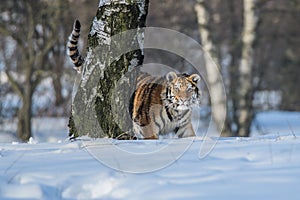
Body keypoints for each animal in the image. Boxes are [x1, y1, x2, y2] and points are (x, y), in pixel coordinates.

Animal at [67, 19, 200, 139]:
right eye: (177, 89)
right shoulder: (148, 126)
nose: (183, 100)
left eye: (189, 90)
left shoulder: (184, 127)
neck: (177, 112)